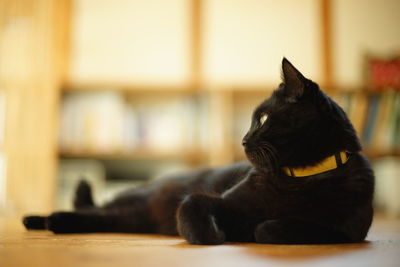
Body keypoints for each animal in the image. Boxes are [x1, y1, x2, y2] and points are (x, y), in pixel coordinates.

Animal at [22, 58, 376, 245]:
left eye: (262, 118)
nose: (243, 139)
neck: (302, 179)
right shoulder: (220, 201)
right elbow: (192, 205)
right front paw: (212, 235)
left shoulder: (348, 231)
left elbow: (274, 227)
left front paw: (253, 228)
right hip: (140, 206)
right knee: (95, 209)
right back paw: (37, 219)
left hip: (133, 217)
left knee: (101, 217)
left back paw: (52, 222)